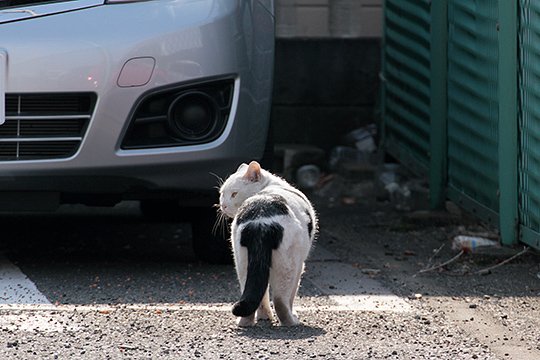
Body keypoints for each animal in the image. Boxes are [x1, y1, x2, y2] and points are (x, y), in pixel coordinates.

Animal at [218, 160, 316, 326]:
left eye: (234, 194)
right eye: (222, 194)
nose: (223, 205)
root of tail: (261, 221)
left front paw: (264, 317)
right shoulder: (299, 266)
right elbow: (291, 297)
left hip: (242, 262)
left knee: (253, 291)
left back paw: (246, 321)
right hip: (288, 266)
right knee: (280, 300)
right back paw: (291, 322)